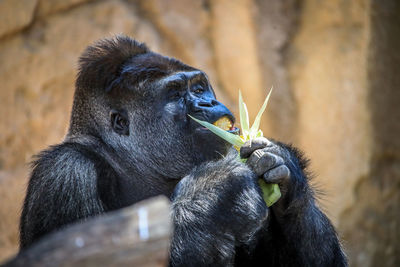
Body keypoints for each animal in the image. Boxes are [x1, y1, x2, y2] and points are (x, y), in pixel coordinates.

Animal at [19, 36, 346, 267]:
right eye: (175, 95)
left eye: (199, 88)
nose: (207, 103)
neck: (126, 163)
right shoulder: (67, 174)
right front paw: (216, 193)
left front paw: (286, 172)